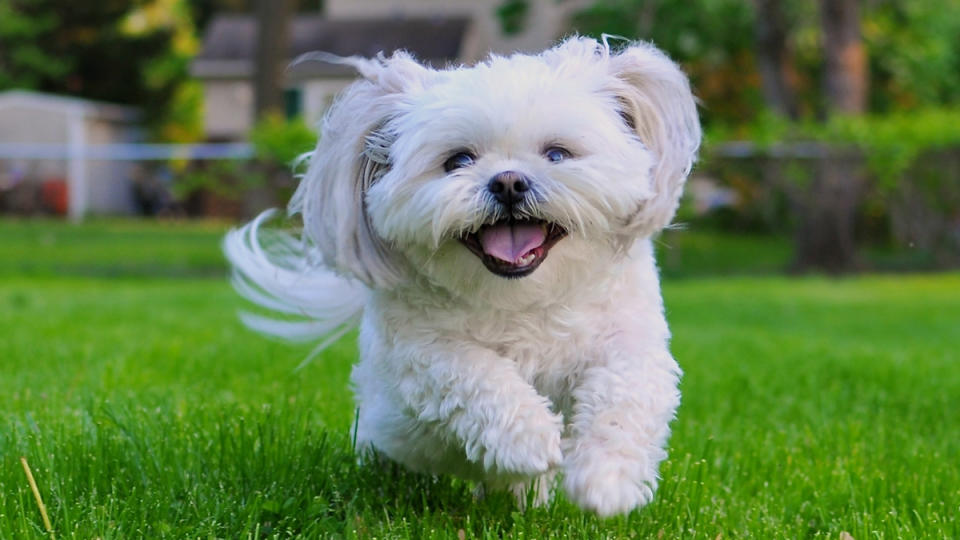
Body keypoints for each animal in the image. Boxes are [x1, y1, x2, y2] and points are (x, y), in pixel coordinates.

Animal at [229, 35, 700, 516]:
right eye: (457, 160)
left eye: (556, 153)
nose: (508, 181)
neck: (523, 299)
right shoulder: (423, 350)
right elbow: (477, 375)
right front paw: (530, 439)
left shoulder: (629, 338)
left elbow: (626, 392)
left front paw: (607, 479)